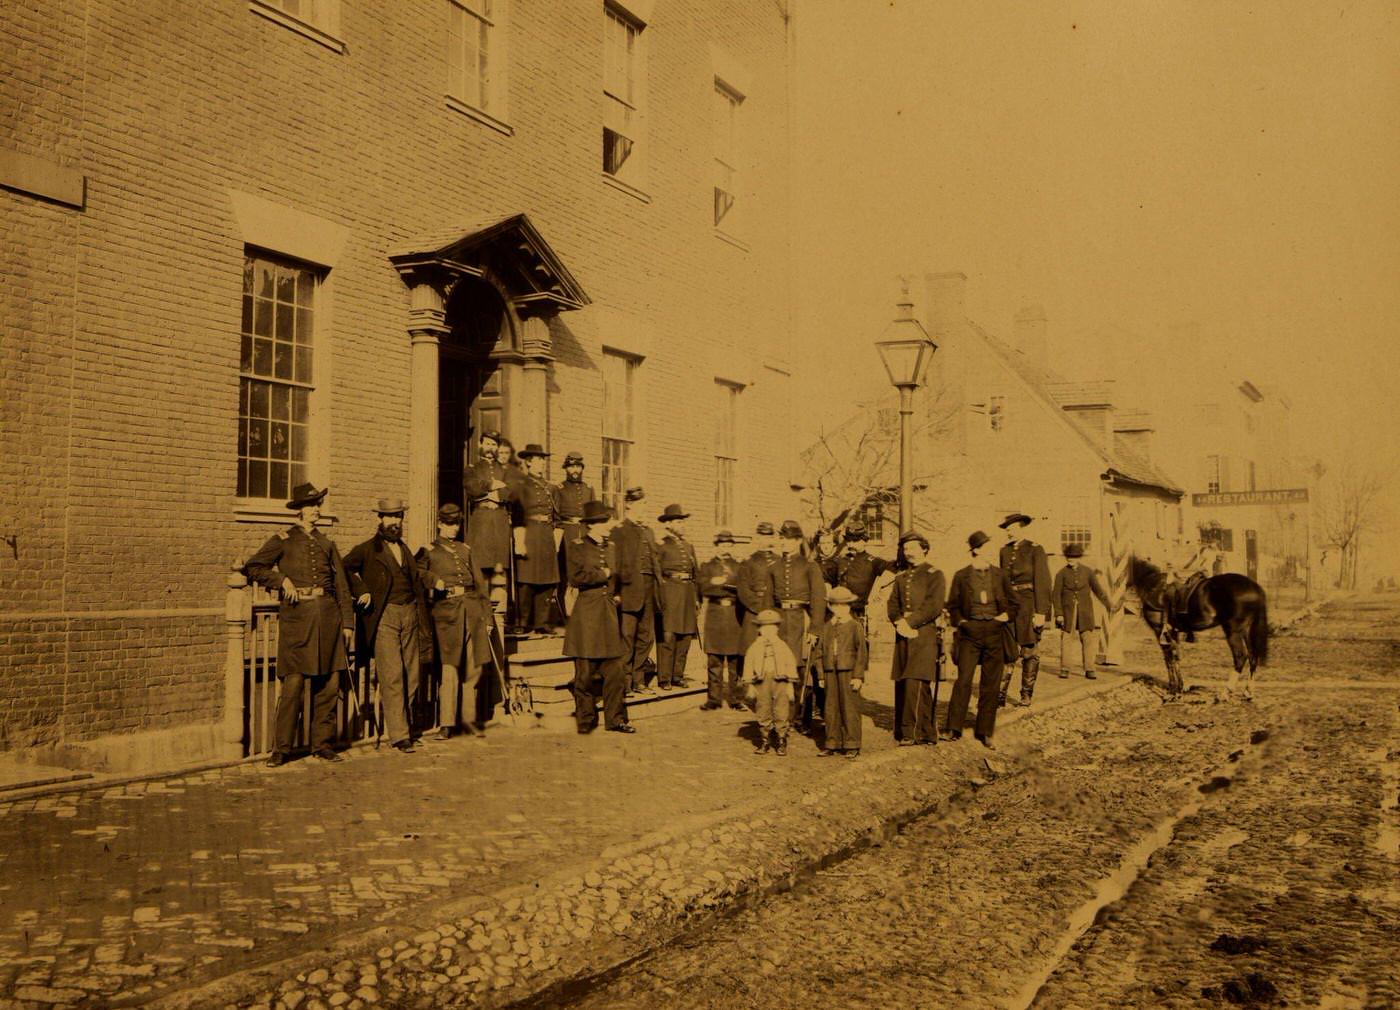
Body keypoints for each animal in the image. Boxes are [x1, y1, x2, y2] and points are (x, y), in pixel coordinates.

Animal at [1125, 551, 1271, 700]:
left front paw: (1172, 691)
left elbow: (1168, 660)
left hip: (1233, 631)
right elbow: (1176, 657)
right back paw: (1248, 692)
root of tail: (1255, 588)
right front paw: (1180, 689)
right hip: (1247, 630)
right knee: (1253, 656)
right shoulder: (1173, 632)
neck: (1152, 585)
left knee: (1240, 656)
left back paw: (1225, 692)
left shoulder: (1159, 630)